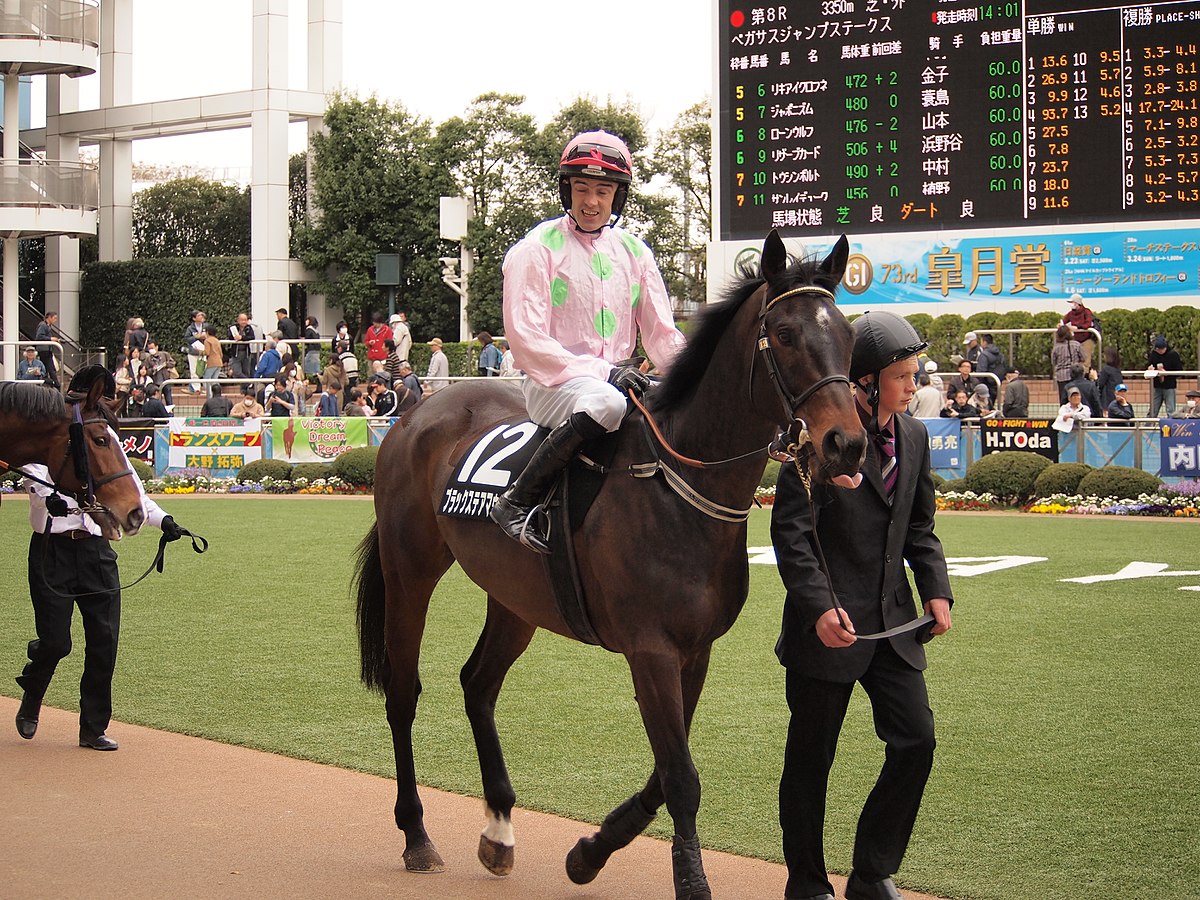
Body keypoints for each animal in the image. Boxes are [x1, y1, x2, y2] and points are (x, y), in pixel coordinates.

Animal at [350, 230, 868, 897]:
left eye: (849, 335)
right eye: (783, 333)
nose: (846, 444)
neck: (675, 486)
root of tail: (413, 414)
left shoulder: (694, 650)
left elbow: (666, 771)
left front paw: (590, 851)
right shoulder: (650, 649)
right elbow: (680, 776)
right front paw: (689, 879)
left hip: (516, 598)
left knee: (477, 684)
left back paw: (499, 831)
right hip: (410, 569)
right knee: (402, 690)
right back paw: (416, 834)